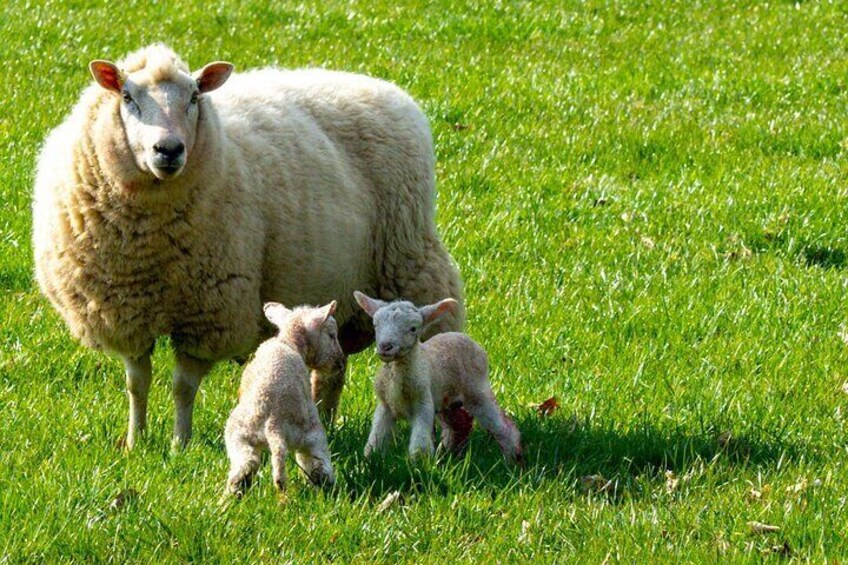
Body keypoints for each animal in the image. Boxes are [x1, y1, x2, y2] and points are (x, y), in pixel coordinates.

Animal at [31, 44, 464, 448]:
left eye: (194, 96)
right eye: (127, 97)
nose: (168, 150)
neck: (149, 246)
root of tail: (382, 88)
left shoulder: (208, 314)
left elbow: (182, 386)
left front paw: (179, 444)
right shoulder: (126, 312)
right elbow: (137, 383)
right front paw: (137, 441)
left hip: (411, 263)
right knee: (333, 368)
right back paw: (323, 420)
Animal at [227, 300, 342, 494]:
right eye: (332, 335)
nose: (340, 363)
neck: (288, 341)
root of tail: (275, 425)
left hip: (238, 434)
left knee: (246, 464)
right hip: (311, 434)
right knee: (317, 465)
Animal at [352, 290, 524, 462]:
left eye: (413, 328)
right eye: (375, 325)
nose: (385, 346)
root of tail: (463, 336)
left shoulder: (423, 403)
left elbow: (420, 443)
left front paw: (419, 464)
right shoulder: (385, 406)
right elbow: (376, 439)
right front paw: (369, 460)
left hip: (477, 391)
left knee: (502, 426)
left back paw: (512, 458)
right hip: (447, 401)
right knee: (458, 426)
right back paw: (448, 455)